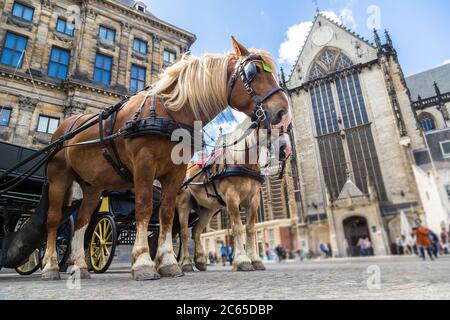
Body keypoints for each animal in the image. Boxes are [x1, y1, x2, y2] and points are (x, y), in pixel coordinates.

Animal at [40, 37, 290, 282]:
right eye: (253, 71)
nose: (282, 112)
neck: (169, 112)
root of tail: (64, 125)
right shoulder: (145, 164)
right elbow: (144, 208)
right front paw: (143, 262)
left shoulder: (176, 174)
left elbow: (167, 215)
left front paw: (168, 262)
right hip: (59, 178)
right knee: (53, 219)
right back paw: (51, 266)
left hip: (93, 186)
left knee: (82, 221)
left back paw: (79, 266)